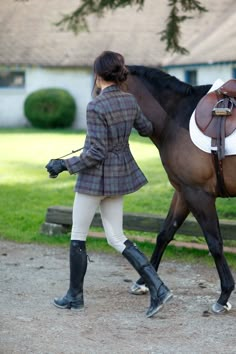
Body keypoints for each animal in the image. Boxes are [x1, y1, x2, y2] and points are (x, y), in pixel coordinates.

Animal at [122, 65, 235, 312]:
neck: (174, 117)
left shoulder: (199, 195)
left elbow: (215, 243)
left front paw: (224, 295)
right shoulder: (184, 192)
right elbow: (165, 233)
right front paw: (144, 282)